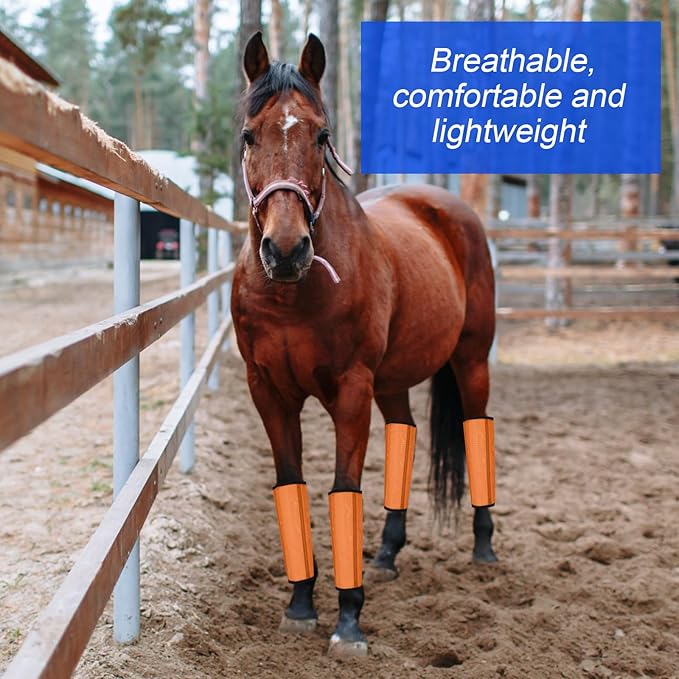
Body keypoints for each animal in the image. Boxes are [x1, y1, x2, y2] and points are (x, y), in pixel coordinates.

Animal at [231, 32, 497, 656]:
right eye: (249, 135)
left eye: (321, 135)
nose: (285, 250)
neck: (292, 293)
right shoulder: (269, 392)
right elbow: (292, 486)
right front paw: (300, 604)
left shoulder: (350, 391)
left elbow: (343, 489)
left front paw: (348, 619)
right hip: (393, 381)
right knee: (405, 432)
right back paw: (387, 553)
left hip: (472, 360)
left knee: (477, 427)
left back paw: (483, 546)